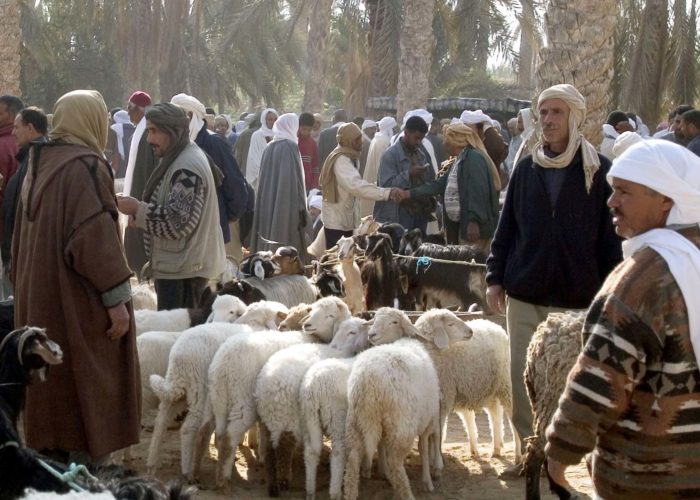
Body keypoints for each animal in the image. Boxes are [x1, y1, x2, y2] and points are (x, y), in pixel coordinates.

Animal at [148, 320, 254, 480]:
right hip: (200, 391)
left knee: (161, 421)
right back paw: (187, 471)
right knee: (188, 428)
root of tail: (180, 360)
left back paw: (152, 463)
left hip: (179, 392)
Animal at [206, 294, 350, 486]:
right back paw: (223, 478)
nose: (308, 324)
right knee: (230, 437)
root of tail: (224, 363)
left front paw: (262, 452)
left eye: (330, 315)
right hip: (243, 403)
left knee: (221, 434)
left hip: (219, 400)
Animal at [298, 318, 372, 498]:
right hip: (337, 417)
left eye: (352, 332)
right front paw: (366, 468)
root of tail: (313, 387)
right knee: (337, 453)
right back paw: (335, 491)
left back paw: (310, 490)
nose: (334, 346)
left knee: (310, 452)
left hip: (308, 418)